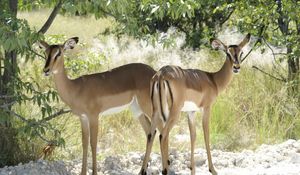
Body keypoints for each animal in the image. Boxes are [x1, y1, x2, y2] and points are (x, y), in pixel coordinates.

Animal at [37, 37, 157, 175]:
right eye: (45, 52)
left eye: (59, 53)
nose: (46, 70)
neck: (76, 88)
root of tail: (154, 73)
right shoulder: (83, 118)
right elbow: (84, 143)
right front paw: (82, 172)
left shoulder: (94, 116)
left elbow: (93, 143)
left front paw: (94, 172)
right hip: (137, 110)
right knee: (150, 132)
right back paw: (142, 171)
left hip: (149, 107)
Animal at [141, 33, 251, 174]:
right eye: (228, 53)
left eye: (241, 53)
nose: (236, 67)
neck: (213, 80)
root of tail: (160, 75)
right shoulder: (207, 108)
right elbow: (206, 134)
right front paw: (212, 169)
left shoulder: (191, 112)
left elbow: (193, 136)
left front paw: (192, 169)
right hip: (174, 112)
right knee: (163, 135)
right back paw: (165, 170)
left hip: (155, 111)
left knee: (151, 135)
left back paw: (143, 171)